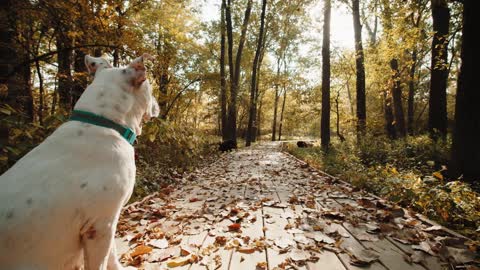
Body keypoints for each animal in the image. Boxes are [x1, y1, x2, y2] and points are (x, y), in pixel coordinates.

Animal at [0, 53, 161, 268]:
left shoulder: (107, 224)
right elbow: (103, 261)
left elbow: (112, 255)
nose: (157, 102)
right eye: (149, 87)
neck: (104, 123)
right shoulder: (100, 227)